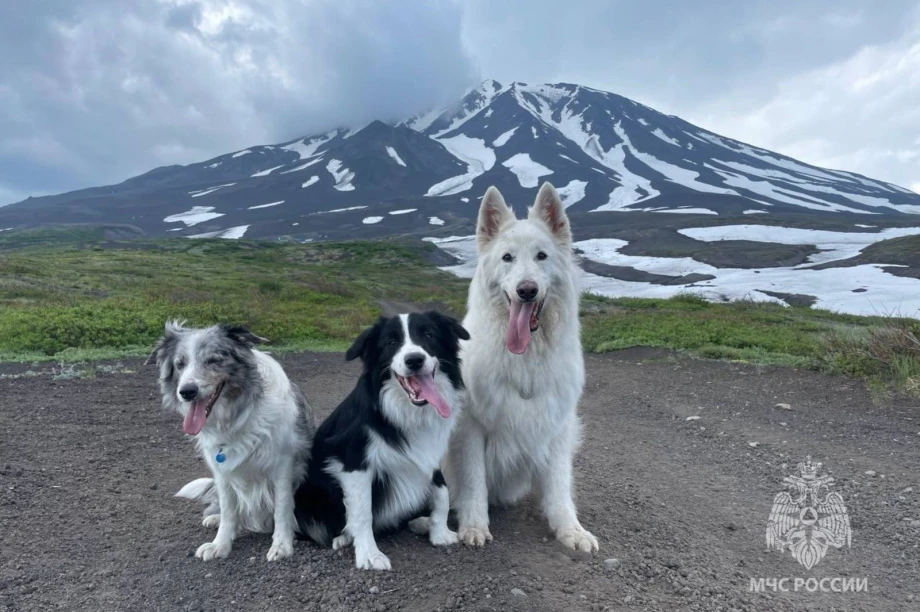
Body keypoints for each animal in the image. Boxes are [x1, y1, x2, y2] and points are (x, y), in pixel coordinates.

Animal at [148, 321, 315, 561]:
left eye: (213, 360)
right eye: (180, 364)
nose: (187, 392)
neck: (236, 416)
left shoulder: (284, 464)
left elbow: (282, 507)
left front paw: (282, 545)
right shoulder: (221, 470)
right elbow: (229, 510)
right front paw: (220, 544)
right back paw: (214, 518)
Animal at [293, 311, 468, 570]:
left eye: (429, 335)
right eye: (390, 342)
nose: (414, 360)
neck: (407, 412)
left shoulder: (429, 453)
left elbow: (442, 492)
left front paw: (440, 533)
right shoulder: (355, 463)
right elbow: (363, 511)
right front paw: (369, 554)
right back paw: (343, 537)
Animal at [445, 182, 599, 552]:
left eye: (542, 256)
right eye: (507, 258)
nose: (526, 290)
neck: (525, 356)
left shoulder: (557, 422)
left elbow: (559, 485)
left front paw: (570, 529)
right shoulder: (470, 427)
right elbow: (473, 481)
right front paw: (474, 525)